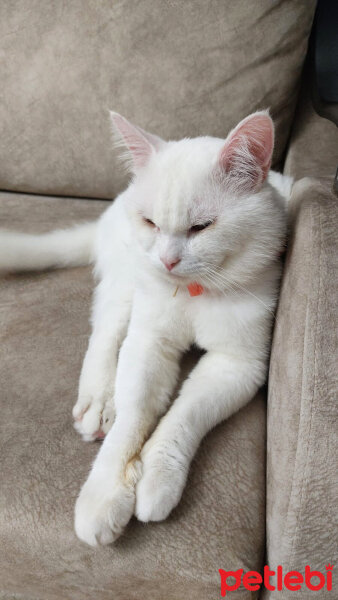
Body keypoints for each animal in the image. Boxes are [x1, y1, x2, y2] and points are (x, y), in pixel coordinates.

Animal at [0, 110, 292, 548]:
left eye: (202, 227)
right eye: (151, 222)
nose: (168, 261)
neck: (194, 291)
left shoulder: (237, 364)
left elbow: (184, 415)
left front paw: (157, 479)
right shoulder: (150, 342)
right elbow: (133, 415)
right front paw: (104, 494)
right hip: (126, 282)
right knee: (105, 334)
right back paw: (100, 403)